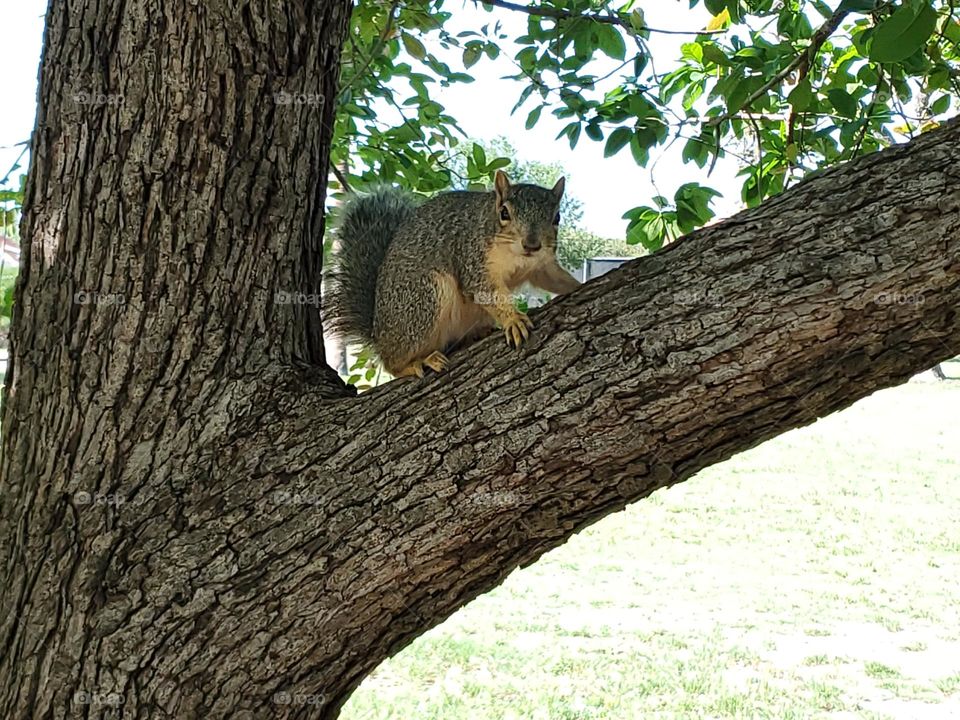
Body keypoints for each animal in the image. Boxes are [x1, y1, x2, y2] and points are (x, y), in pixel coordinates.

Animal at [324, 171, 576, 380]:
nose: (532, 245)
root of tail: (378, 334)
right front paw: (513, 319)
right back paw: (414, 364)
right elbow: (486, 291)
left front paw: (576, 285)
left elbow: (554, 279)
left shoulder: (541, 265)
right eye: (504, 213)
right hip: (423, 299)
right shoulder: (472, 258)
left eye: (557, 218)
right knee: (392, 362)